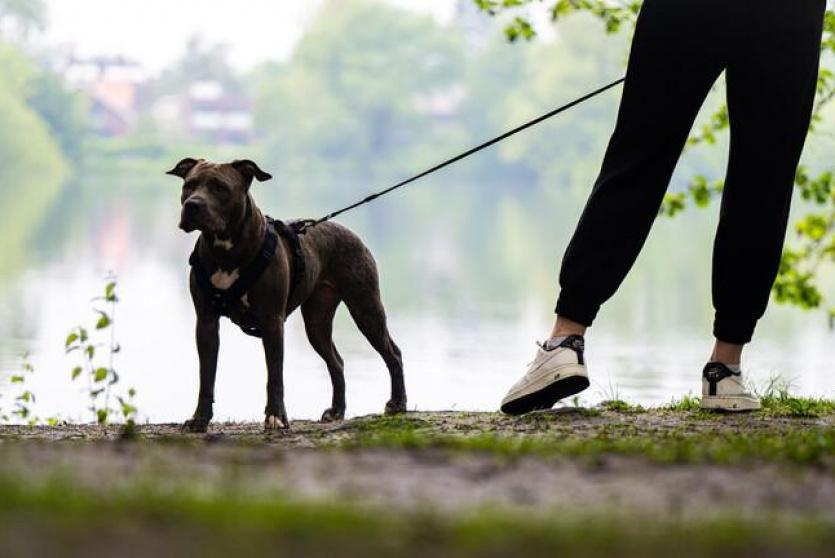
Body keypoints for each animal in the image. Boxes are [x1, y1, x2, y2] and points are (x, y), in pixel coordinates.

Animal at [168, 158, 406, 434]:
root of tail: (346, 229)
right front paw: (199, 419)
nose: (192, 204)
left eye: (220, 187)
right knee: (336, 361)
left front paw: (275, 417)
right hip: (317, 322)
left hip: (365, 307)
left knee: (393, 353)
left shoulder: (272, 321)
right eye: (189, 185)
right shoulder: (206, 322)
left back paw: (398, 403)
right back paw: (337, 410)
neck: (225, 249)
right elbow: (206, 377)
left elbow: (275, 375)